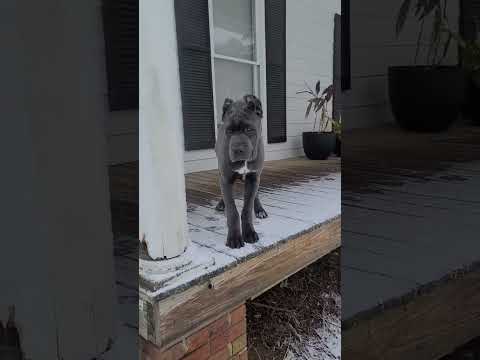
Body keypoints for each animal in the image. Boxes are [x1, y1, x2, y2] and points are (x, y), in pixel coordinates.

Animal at [215, 94, 268, 249]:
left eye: (249, 129)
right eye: (229, 131)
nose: (237, 149)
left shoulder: (253, 177)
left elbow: (247, 208)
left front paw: (249, 232)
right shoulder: (225, 178)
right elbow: (232, 210)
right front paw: (234, 237)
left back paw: (260, 209)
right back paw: (221, 204)